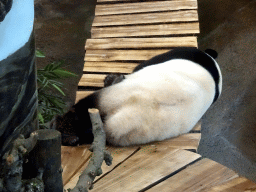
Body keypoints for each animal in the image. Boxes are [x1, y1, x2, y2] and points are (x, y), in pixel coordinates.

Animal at [53, 47, 222, 146]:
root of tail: (131, 115)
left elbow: (143, 64)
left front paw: (111, 78)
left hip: (115, 96)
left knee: (84, 108)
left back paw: (66, 131)